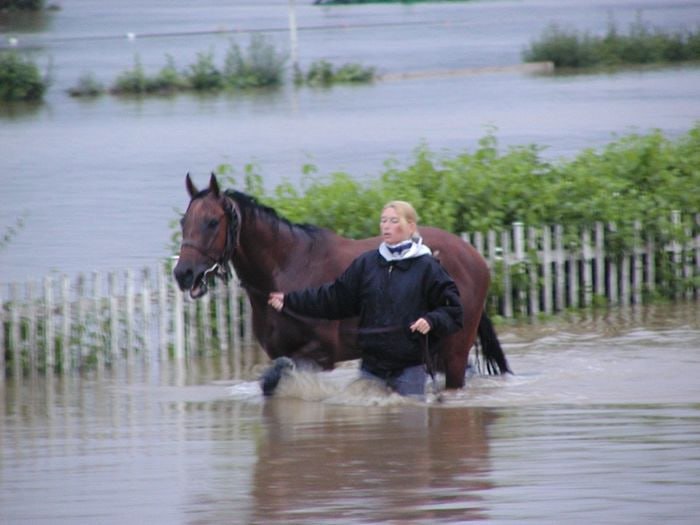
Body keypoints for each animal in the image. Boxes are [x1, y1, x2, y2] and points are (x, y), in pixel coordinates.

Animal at [171, 173, 508, 388]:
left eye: (212, 222)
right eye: (184, 221)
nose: (183, 273)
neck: (288, 268)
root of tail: (476, 258)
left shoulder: (318, 355)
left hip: (454, 351)